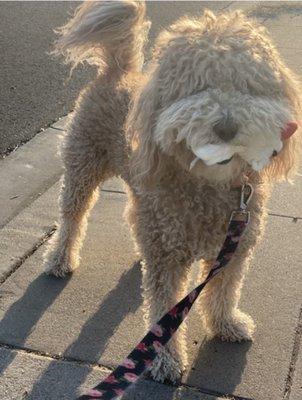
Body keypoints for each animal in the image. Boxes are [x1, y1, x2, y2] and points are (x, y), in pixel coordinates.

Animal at [42, 0, 300, 384]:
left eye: (247, 85)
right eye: (195, 86)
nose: (226, 127)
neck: (208, 185)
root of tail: (118, 70)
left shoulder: (234, 247)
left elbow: (224, 291)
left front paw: (226, 324)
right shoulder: (167, 258)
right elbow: (165, 308)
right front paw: (164, 360)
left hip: (142, 197)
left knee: (131, 216)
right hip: (83, 164)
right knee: (73, 215)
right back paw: (59, 259)